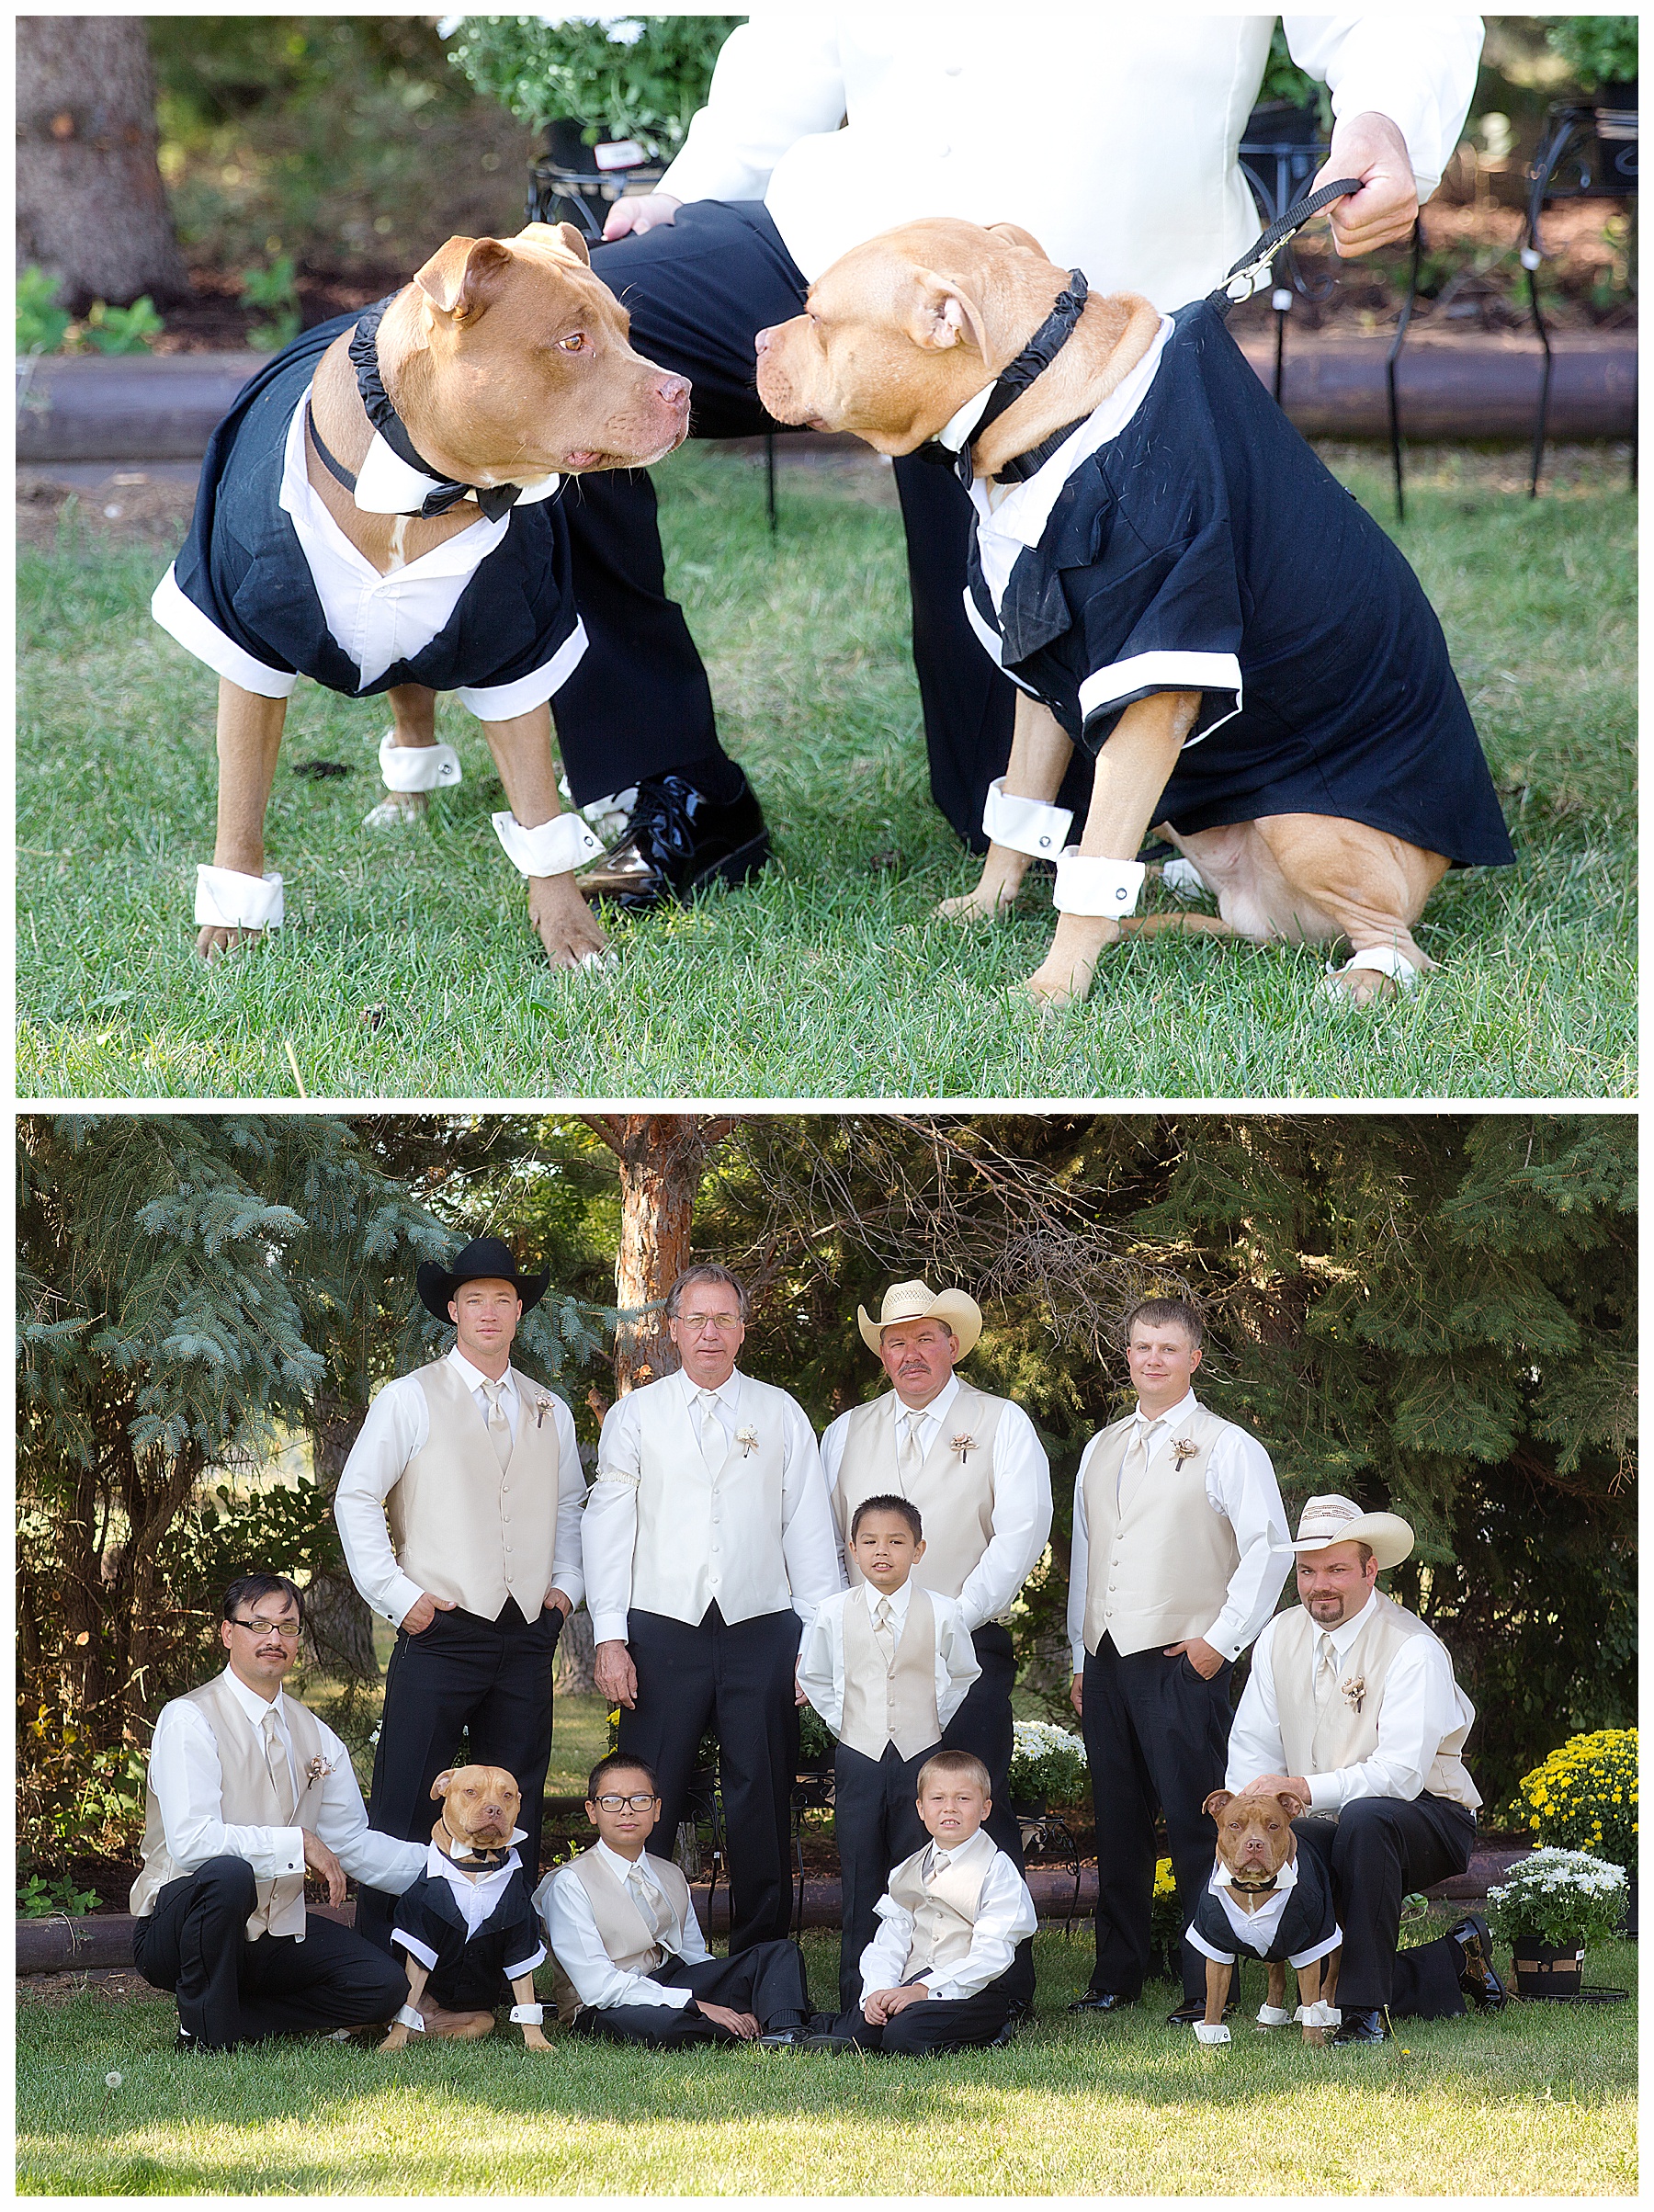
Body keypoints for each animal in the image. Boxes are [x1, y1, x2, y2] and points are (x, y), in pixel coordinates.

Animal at [156, 221, 689, 969]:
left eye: (629, 329)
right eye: (573, 342)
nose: (683, 390)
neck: (425, 483)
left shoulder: (519, 652)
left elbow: (537, 815)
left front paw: (570, 935)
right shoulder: (245, 649)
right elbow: (240, 803)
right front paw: (232, 925)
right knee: (408, 699)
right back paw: (404, 801)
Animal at [378, 1760, 552, 2052]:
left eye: (507, 1795)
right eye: (471, 1791)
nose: (494, 1809)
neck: (476, 1863)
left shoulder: (521, 1938)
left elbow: (526, 1996)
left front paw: (538, 2043)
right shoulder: (421, 1937)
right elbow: (408, 1999)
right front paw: (392, 2044)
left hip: (481, 2019)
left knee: (438, 2033)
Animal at [752, 215, 1512, 1013]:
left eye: (818, 318)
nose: (759, 343)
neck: (1038, 399)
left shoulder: (1152, 691)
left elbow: (1092, 868)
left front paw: (1055, 986)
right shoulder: (1043, 680)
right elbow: (1019, 811)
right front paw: (987, 908)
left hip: (1306, 832)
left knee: (1399, 946)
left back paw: (1361, 978)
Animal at [1194, 1787, 1335, 2044]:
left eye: (1273, 1825)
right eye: (1235, 1825)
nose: (1254, 1844)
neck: (1253, 1888)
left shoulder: (1312, 1942)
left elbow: (1311, 1997)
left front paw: (1313, 2042)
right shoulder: (1216, 1947)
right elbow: (1214, 2001)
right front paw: (1210, 2042)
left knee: (1330, 1981)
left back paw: (1329, 2023)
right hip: (1273, 1944)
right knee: (1277, 1979)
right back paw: (1268, 2022)